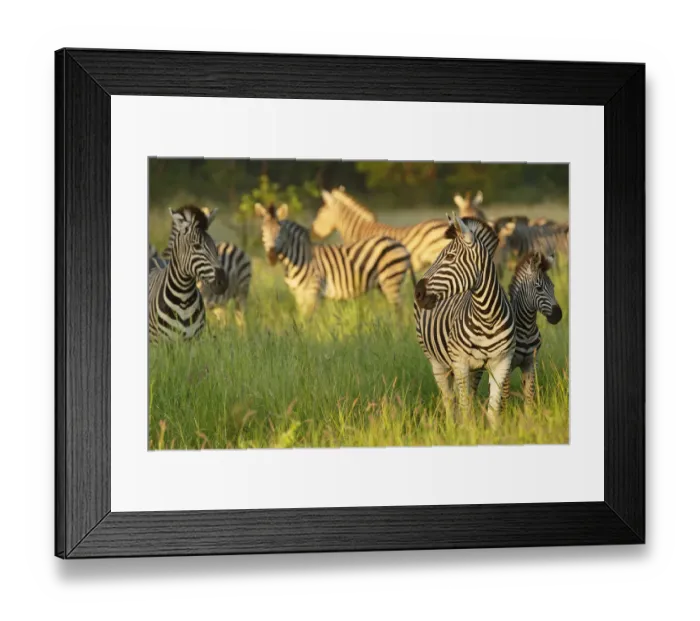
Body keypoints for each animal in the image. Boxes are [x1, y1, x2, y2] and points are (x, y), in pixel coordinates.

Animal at [148, 205, 227, 342]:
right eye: (196, 246)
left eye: (215, 248)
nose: (223, 282)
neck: (183, 297)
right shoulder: (161, 342)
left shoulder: (193, 341)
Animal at [256, 202, 414, 316]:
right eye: (263, 231)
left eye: (280, 231)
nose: (271, 256)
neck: (296, 259)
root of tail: (400, 244)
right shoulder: (299, 295)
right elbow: (302, 320)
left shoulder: (312, 292)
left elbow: (309, 321)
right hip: (383, 284)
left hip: (391, 281)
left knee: (400, 311)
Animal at [413, 215, 515, 427]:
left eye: (450, 257)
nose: (417, 293)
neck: (487, 316)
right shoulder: (459, 363)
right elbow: (464, 406)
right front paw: (467, 431)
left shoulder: (502, 362)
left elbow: (492, 410)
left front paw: (494, 432)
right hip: (437, 363)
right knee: (449, 399)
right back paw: (452, 427)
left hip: (476, 369)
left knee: (469, 394)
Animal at [469, 251, 563, 406]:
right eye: (539, 288)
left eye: (553, 287)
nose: (558, 316)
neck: (526, 328)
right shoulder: (507, 364)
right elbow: (505, 397)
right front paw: (505, 413)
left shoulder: (530, 363)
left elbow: (529, 396)